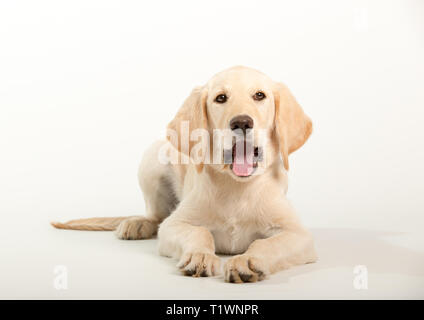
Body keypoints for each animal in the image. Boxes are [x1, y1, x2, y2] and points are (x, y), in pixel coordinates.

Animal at [51, 65, 316, 282]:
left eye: (260, 95)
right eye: (221, 98)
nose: (241, 122)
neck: (236, 186)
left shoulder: (299, 235)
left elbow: (267, 244)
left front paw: (248, 260)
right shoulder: (174, 224)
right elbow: (199, 232)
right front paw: (199, 256)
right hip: (152, 159)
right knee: (156, 216)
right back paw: (137, 223)